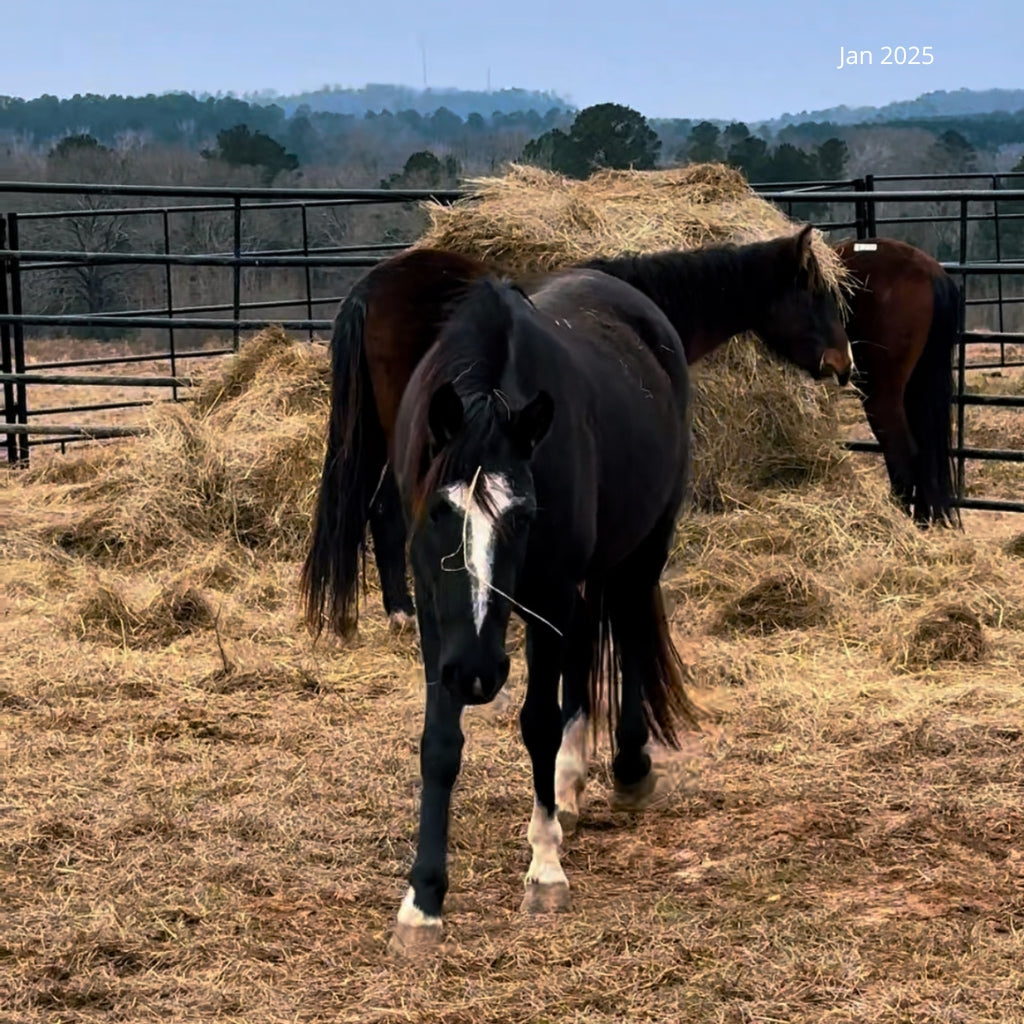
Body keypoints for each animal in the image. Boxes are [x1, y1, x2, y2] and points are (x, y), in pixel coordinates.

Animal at [374, 235, 847, 946]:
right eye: (438, 513)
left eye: (522, 517)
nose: (480, 675)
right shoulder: (440, 615)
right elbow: (440, 745)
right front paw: (423, 898)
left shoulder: (546, 593)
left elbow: (538, 720)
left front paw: (544, 868)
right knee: (589, 642)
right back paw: (571, 784)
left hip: (640, 550)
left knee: (622, 628)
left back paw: (623, 766)